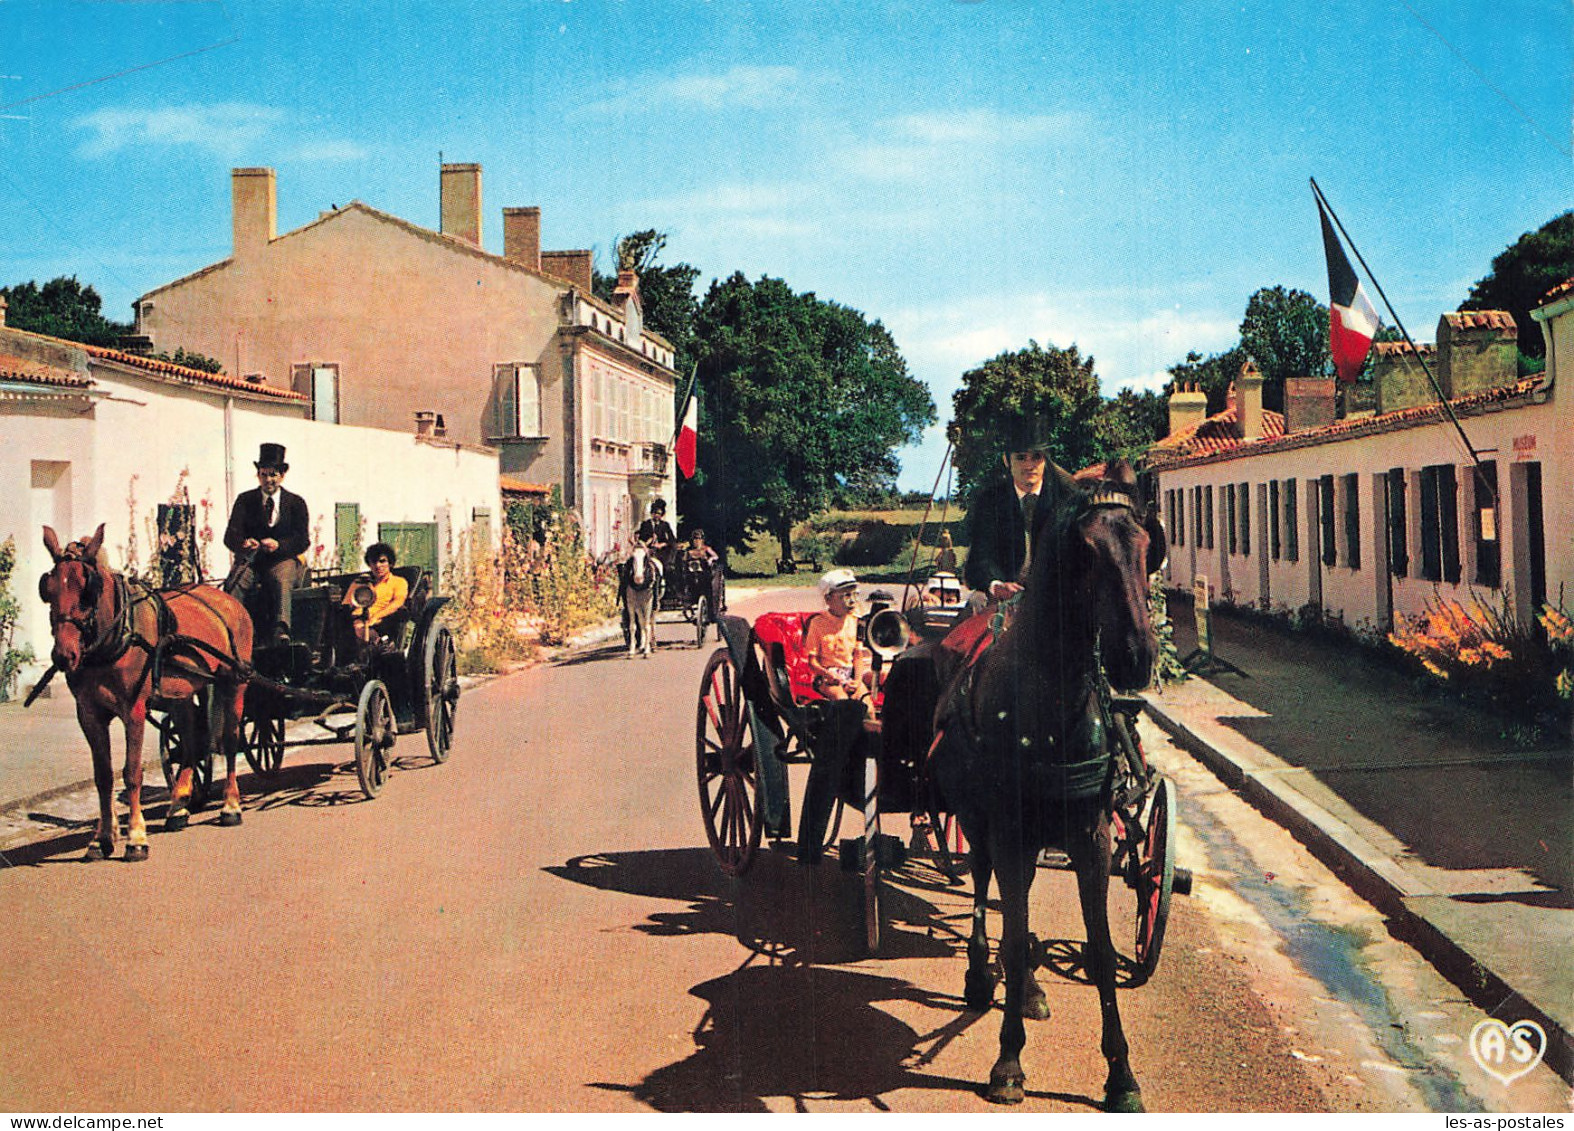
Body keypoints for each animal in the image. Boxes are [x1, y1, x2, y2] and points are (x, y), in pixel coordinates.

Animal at [38, 525, 253, 862]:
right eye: (48, 589)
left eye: (88, 591)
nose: (64, 656)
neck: (114, 637)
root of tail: (227, 599)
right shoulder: (89, 715)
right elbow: (103, 776)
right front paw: (101, 839)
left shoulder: (133, 711)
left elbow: (132, 773)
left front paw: (136, 838)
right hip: (180, 694)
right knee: (190, 743)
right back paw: (177, 807)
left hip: (234, 683)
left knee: (230, 740)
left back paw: (231, 806)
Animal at [925, 459, 1164, 1107]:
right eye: (1084, 550)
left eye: (1146, 544)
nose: (1136, 657)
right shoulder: (1007, 831)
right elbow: (1010, 931)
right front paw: (1008, 1060)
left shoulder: (1092, 837)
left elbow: (1100, 952)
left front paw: (1121, 1074)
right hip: (977, 821)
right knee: (987, 889)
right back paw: (981, 974)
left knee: (1021, 901)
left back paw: (1028, 987)